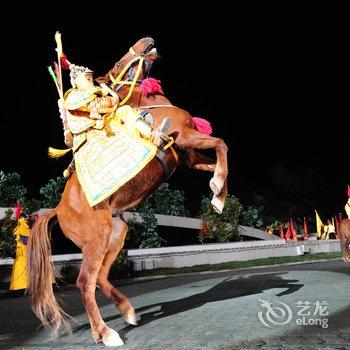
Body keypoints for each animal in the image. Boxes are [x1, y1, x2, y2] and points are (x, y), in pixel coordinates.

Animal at [28, 36, 230, 348]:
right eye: (117, 63)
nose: (146, 41)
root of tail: (58, 210)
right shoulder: (185, 136)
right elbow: (221, 144)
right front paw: (218, 187)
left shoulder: (189, 155)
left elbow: (217, 153)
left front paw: (219, 198)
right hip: (97, 237)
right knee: (85, 282)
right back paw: (104, 332)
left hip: (116, 232)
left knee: (101, 277)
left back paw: (128, 311)